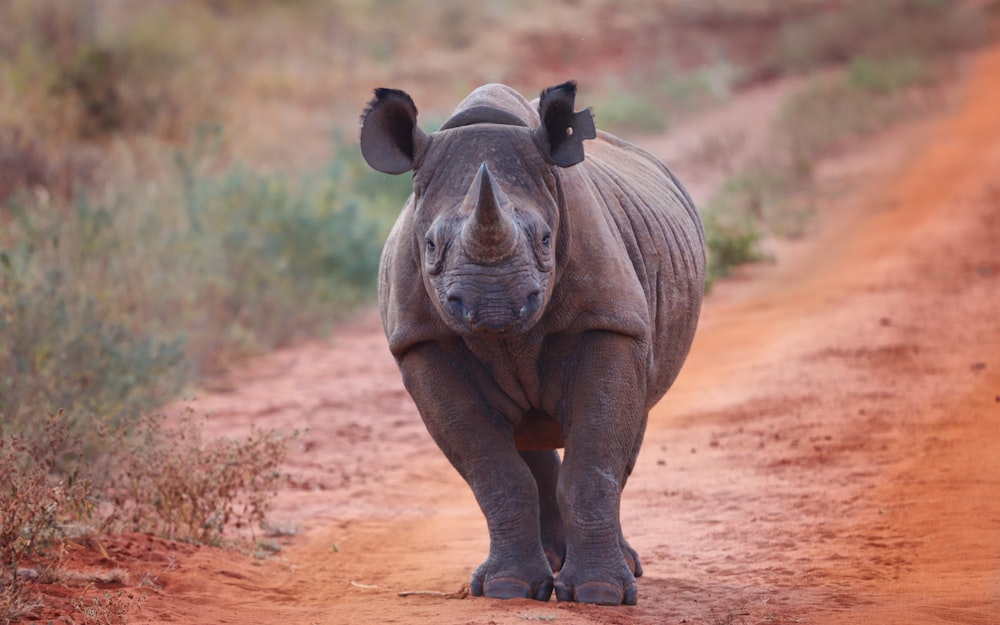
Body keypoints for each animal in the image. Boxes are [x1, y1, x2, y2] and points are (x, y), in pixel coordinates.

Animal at [360, 80, 704, 604]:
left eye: (545, 239)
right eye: (431, 246)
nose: (493, 306)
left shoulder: (610, 322)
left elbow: (595, 458)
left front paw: (601, 594)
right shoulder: (421, 342)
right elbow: (493, 471)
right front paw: (507, 588)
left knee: (628, 427)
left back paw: (619, 568)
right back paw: (545, 570)